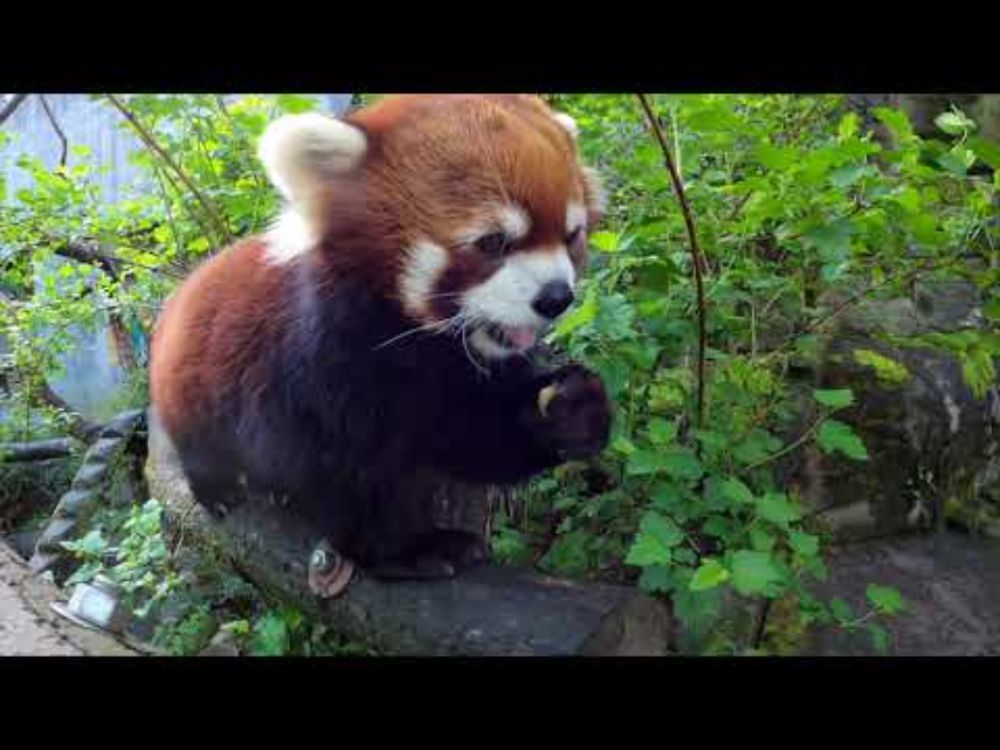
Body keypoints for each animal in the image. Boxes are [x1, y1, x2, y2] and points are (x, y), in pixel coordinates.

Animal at [150, 95, 608, 600]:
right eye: (493, 242)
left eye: (571, 234)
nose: (556, 298)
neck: (409, 340)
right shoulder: (310, 372)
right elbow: (342, 476)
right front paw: (410, 550)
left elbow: (472, 435)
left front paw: (571, 413)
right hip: (189, 386)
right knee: (199, 442)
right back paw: (216, 488)